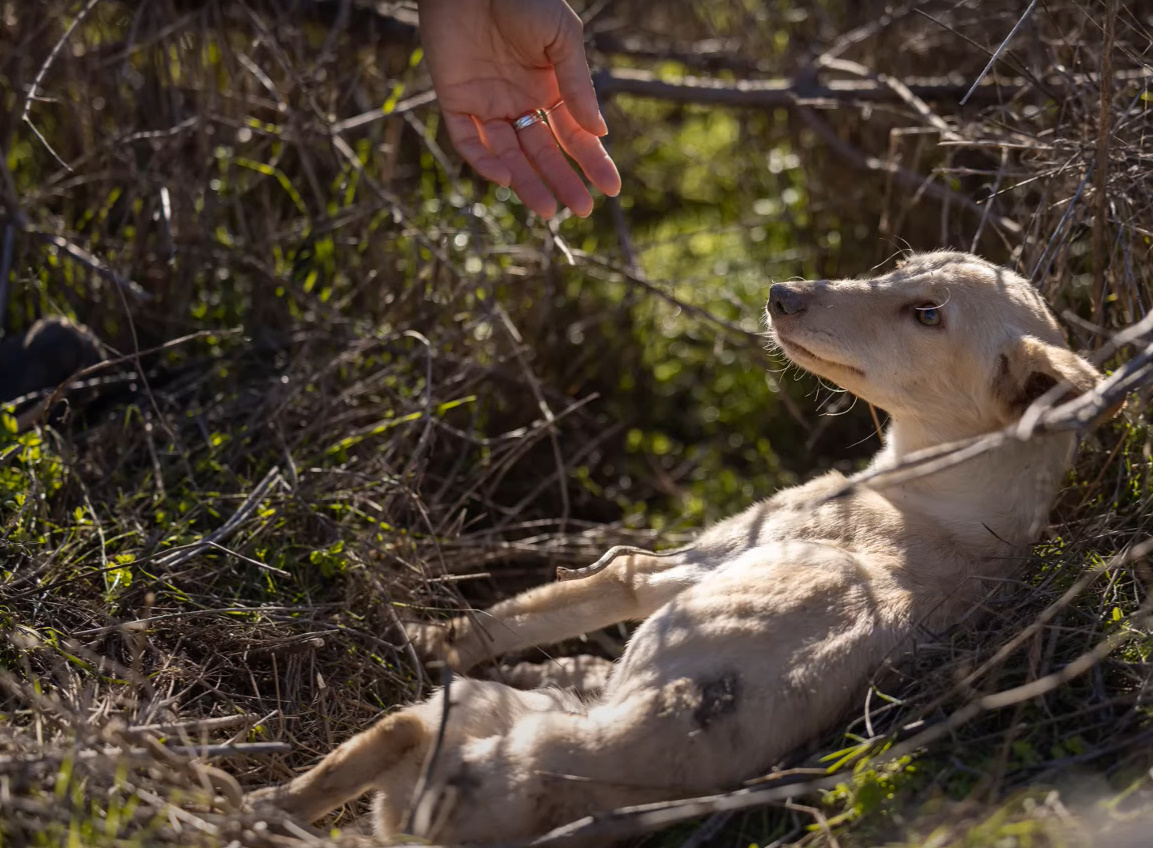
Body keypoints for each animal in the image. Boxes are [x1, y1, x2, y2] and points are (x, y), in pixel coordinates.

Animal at [250, 254, 1097, 844]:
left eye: (925, 313)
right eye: (897, 267)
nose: (781, 292)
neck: (958, 497)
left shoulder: (665, 571)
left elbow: (509, 616)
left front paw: (420, 632)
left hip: (445, 719)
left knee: (374, 744)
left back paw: (251, 801)